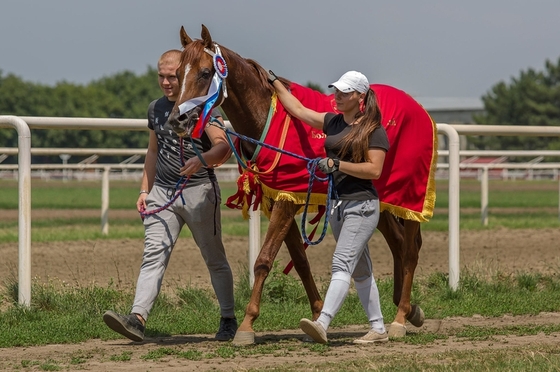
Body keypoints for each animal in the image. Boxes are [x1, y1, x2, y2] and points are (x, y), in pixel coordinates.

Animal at [166, 24, 438, 346]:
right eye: (177, 72)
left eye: (206, 72)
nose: (177, 119)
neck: (267, 118)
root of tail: (420, 110)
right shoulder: (282, 198)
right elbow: (299, 259)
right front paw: (319, 313)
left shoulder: (285, 201)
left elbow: (264, 259)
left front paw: (246, 325)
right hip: (382, 200)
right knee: (397, 244)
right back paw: (408, 309)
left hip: (410, 197)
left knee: (410, 250)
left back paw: (399, 318)